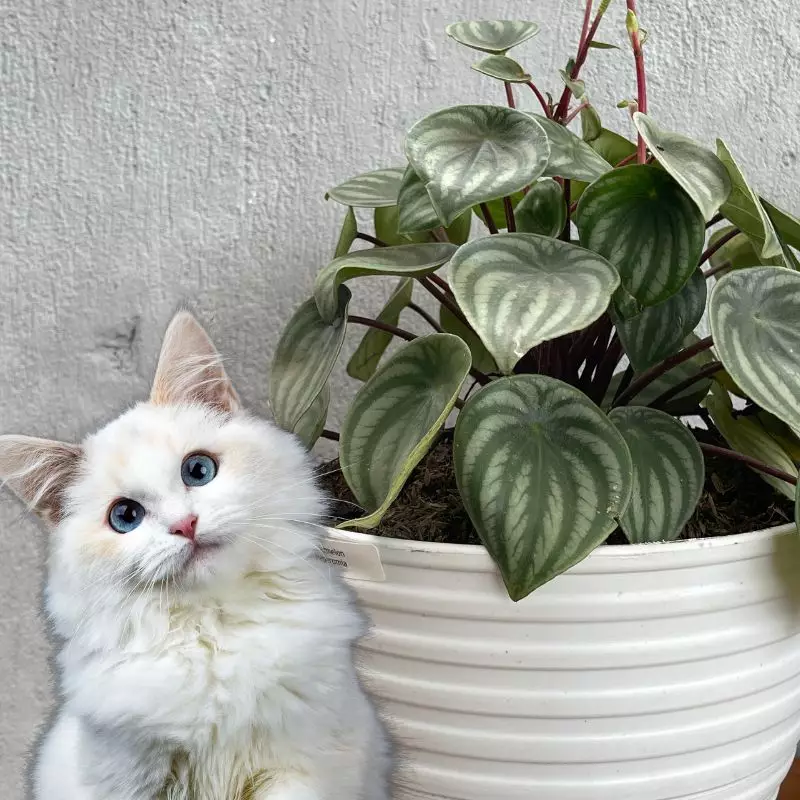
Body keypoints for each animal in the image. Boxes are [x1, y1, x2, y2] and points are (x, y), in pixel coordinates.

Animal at [0, 312, 388, 800]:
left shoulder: (299, 768)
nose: (185, 525)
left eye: (198, 470)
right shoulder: (127, 778)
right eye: (125, 516)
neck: (212, 632)